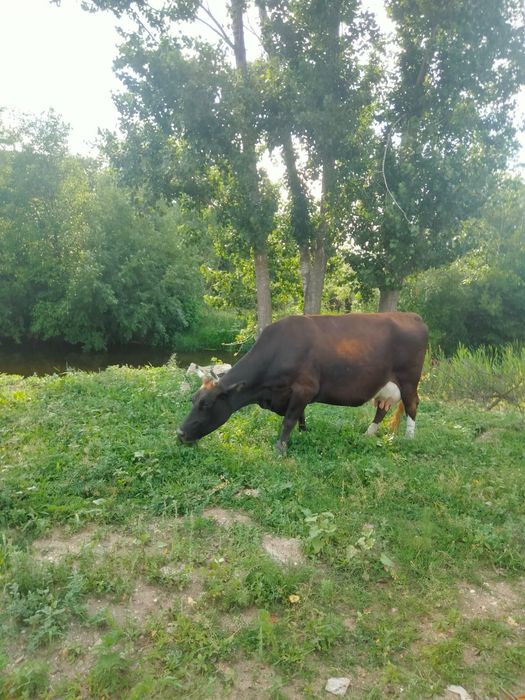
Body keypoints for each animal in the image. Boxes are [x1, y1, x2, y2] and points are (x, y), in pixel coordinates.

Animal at [177, 312, 428, 454]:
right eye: (193, 400)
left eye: (206, 405)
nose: (179, 433)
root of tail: (413, 316)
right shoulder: (294, 394)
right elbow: (301, 416)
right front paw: (305, 434)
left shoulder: (304, 388)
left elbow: (289, 420)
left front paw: (280, 448)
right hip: (384, 385)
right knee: (382, 408)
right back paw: (368, 434)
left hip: (408, 380)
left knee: (412, 404)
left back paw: (409, 438)